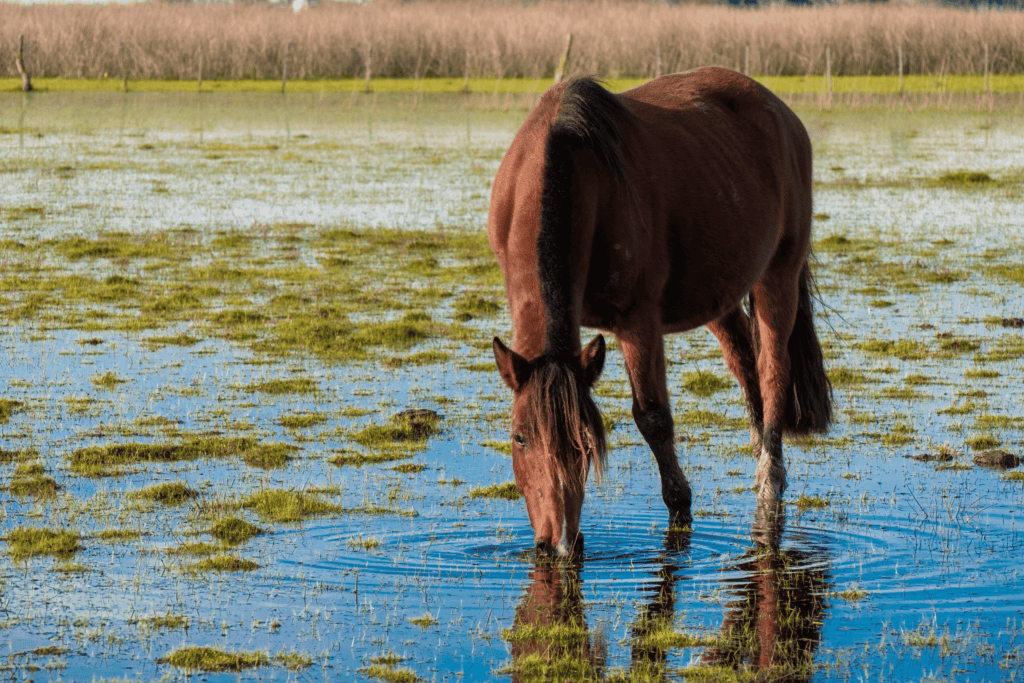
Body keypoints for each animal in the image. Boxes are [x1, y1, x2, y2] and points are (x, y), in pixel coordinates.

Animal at [487, 66, 831, 557]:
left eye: (586, 441)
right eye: (519, 437)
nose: (559, 544)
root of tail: (782, 114)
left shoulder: (638, 323)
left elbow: (653, 417)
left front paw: (679, 507)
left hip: (777, 274)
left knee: (772, 371)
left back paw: (770, 480)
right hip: (720, 294)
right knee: (745, 363)